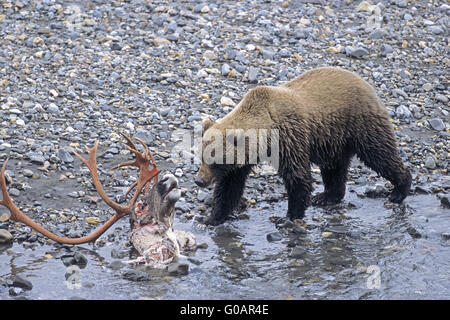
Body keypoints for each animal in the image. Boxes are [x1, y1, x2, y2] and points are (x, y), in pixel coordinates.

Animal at [193, 67, 412, 226]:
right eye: (201, 157)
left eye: (214, 161)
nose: (199, 180)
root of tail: (364, 81)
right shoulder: (244, 158)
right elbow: (229, 186)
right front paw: (211, 217)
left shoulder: (289, 139)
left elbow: (297, 177)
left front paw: (289, 216)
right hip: (333, 139)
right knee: (334, 167)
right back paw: (327, 196)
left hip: (360, 122)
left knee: (380, 154)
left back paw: (399, 190)